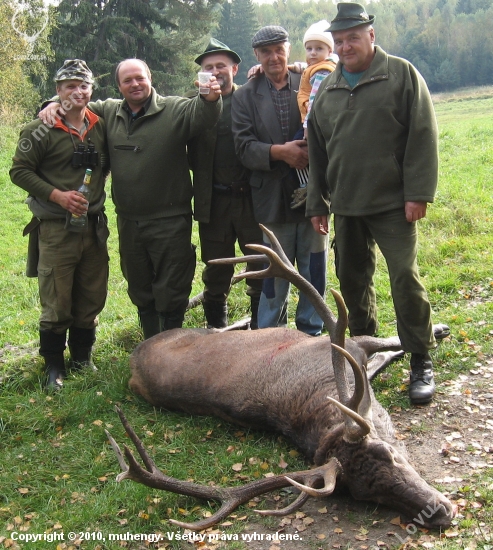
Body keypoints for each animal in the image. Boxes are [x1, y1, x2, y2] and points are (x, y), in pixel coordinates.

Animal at [105, 226, 456, 532]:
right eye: (367, 494)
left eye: (391, 454)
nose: (440, 511)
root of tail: (133, 360)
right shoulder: (347, 346)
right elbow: (386, 345)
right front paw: (437, 329)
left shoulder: (349, 350)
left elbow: (385, 348)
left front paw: (436, 330)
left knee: (219, 325)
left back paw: (245, 319)